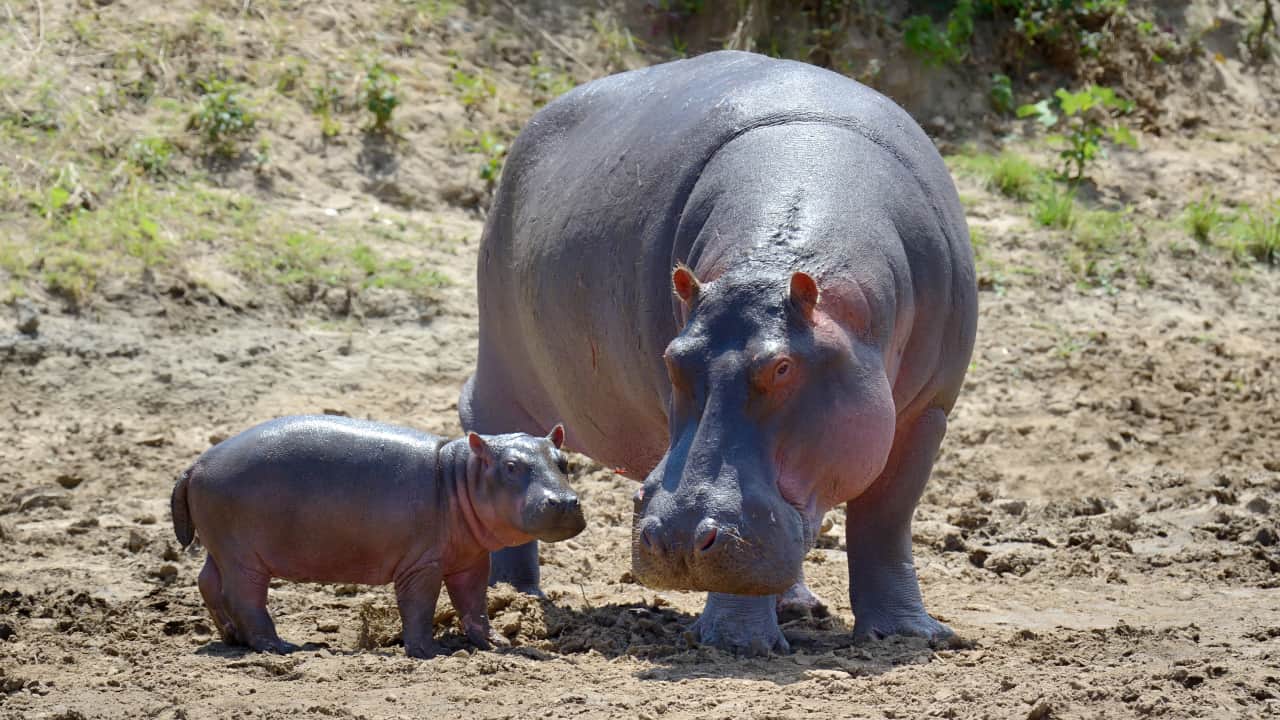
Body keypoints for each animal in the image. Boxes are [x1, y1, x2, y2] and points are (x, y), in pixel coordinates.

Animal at [170, 415, 586, 655]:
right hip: (243, 556)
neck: (460, 475)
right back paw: (279, 646)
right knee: (244, 597)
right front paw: (427, 652)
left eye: (564, 462)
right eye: (512, 466)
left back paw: (232, 638)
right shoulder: (422, 564)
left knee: (208, 582)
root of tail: (195, 464)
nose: (565, 502)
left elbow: (474, 604)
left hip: (221, 547)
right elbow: (419, 606)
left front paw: (497, 643)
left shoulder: (470, 560)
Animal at [463, 50, 977, 653]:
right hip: (501, 371)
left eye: (782, 366)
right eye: (673, 359)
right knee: (497, 436)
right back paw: (514, 597)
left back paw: (798, 605)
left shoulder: (927, 413)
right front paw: (738, 643)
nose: (678, 539)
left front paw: (911, 635)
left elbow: (885, 520)